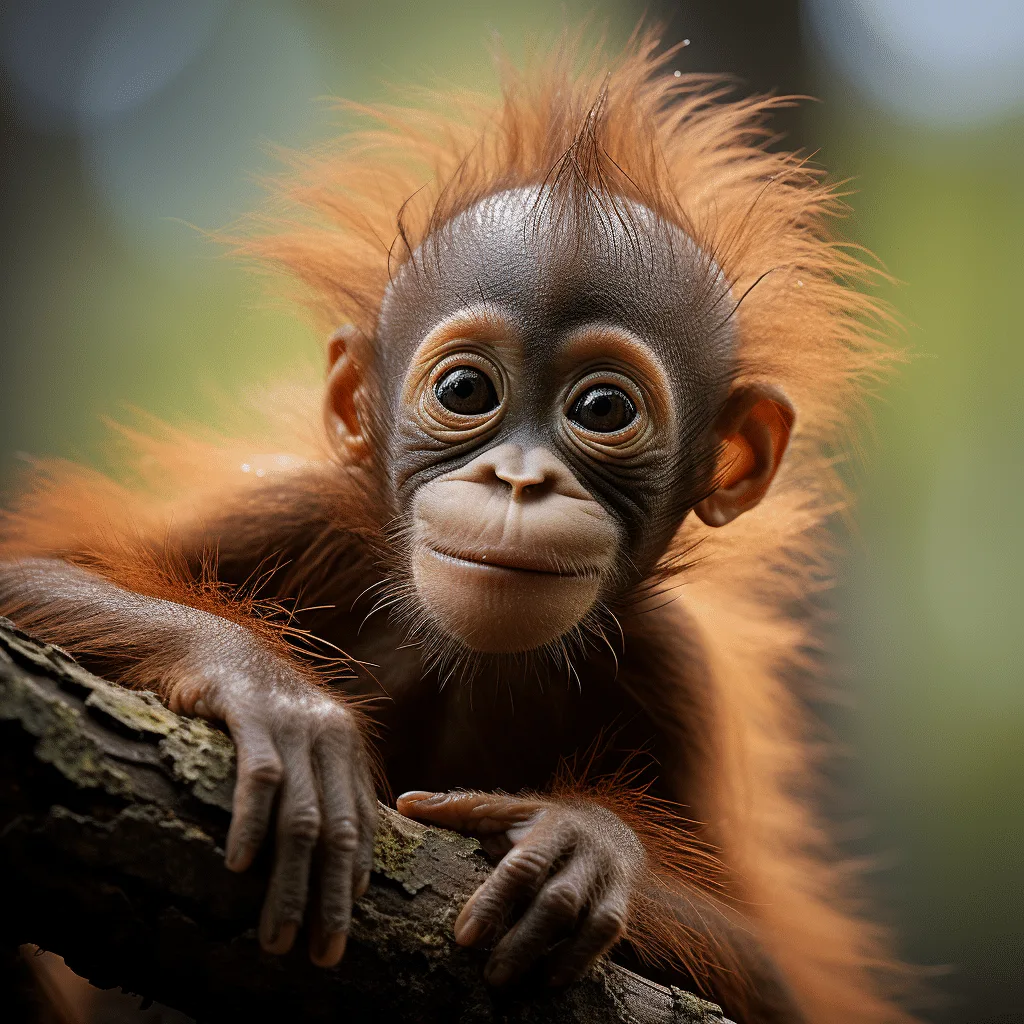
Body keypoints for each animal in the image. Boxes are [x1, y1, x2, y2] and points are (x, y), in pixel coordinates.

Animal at [0, 31, 916, 1024]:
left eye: (602, 408)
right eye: (467, 391)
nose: (518, 480)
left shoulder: (675, 671)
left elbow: (776, 975)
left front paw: (592, 847)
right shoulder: (292, 512)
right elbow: (29, 574)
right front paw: (274, 697)